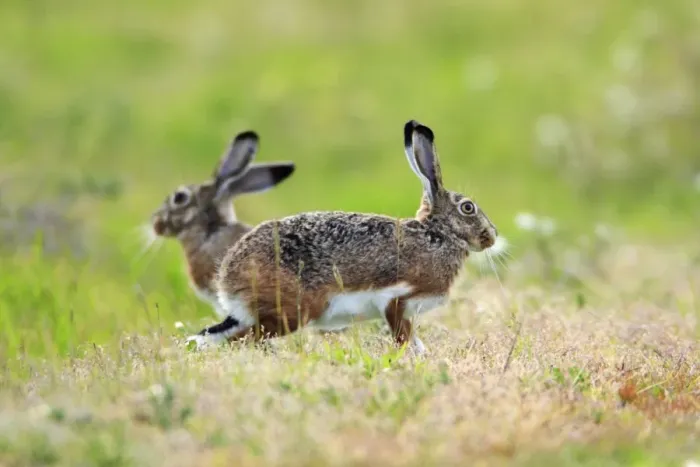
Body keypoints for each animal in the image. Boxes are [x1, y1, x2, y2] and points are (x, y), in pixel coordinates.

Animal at [187, 120, 498, 355]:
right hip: (293, 312)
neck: (438, 235)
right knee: (244, 339)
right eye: (468, 208)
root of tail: (228, 277)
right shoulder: (398, 300)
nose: (492, 237)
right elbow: (403, 336)